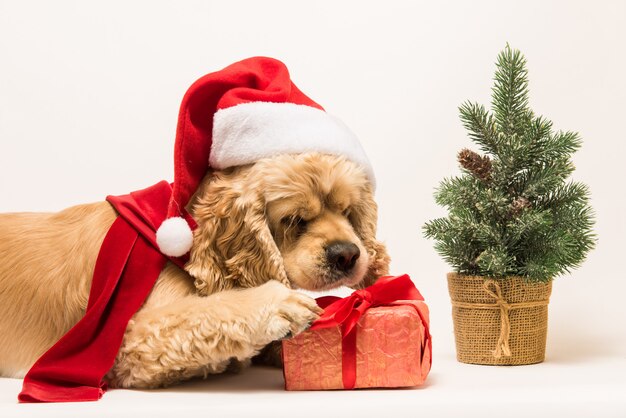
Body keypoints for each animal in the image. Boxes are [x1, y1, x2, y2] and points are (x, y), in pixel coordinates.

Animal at [0, 153, 388, 388]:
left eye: (348, 211)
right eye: (294, 220)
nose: (347, 255)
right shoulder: (128, 341)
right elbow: (208, 314)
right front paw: (279, 304)